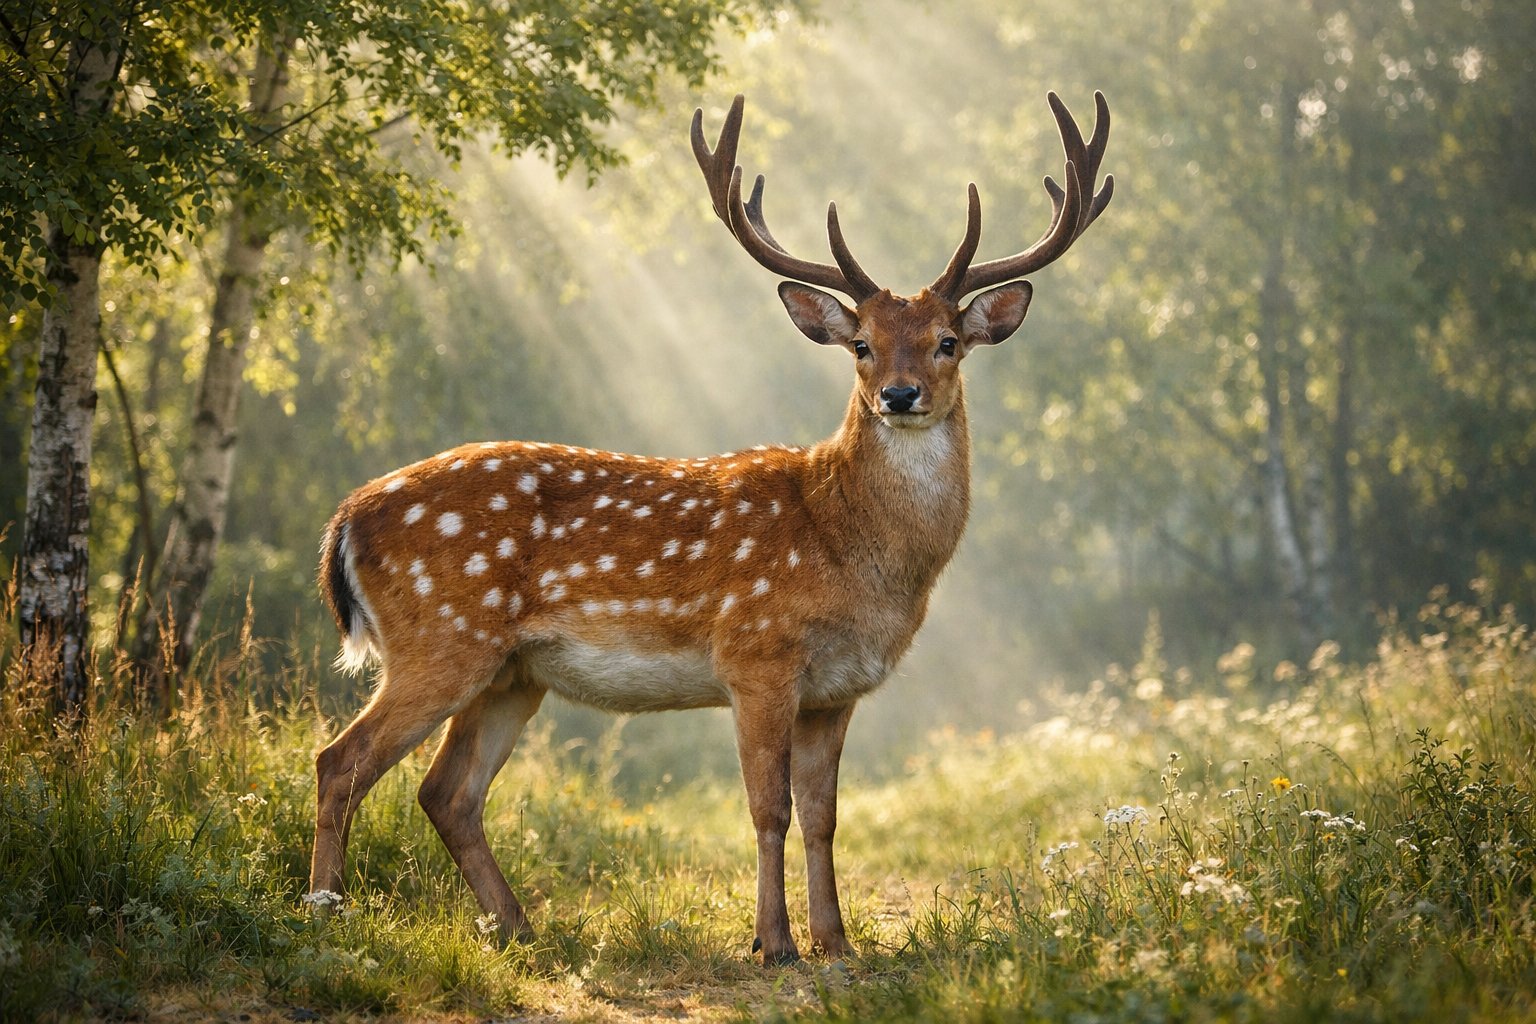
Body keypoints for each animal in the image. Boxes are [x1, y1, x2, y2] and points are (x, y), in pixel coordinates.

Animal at [309, 91, 1112, 965]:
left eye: (948, 343)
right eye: (862, 346)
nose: (899, 396)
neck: (849, 549)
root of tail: (345, 520)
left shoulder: (838, 689)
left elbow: (825, 816)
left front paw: (836, 940)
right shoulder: (755, 653)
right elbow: (769, 809)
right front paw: (773, 943)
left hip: (510, 673)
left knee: (446, 791)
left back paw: (519, 928)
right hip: (441, 636)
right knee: (341, 760)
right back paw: (325, 911)